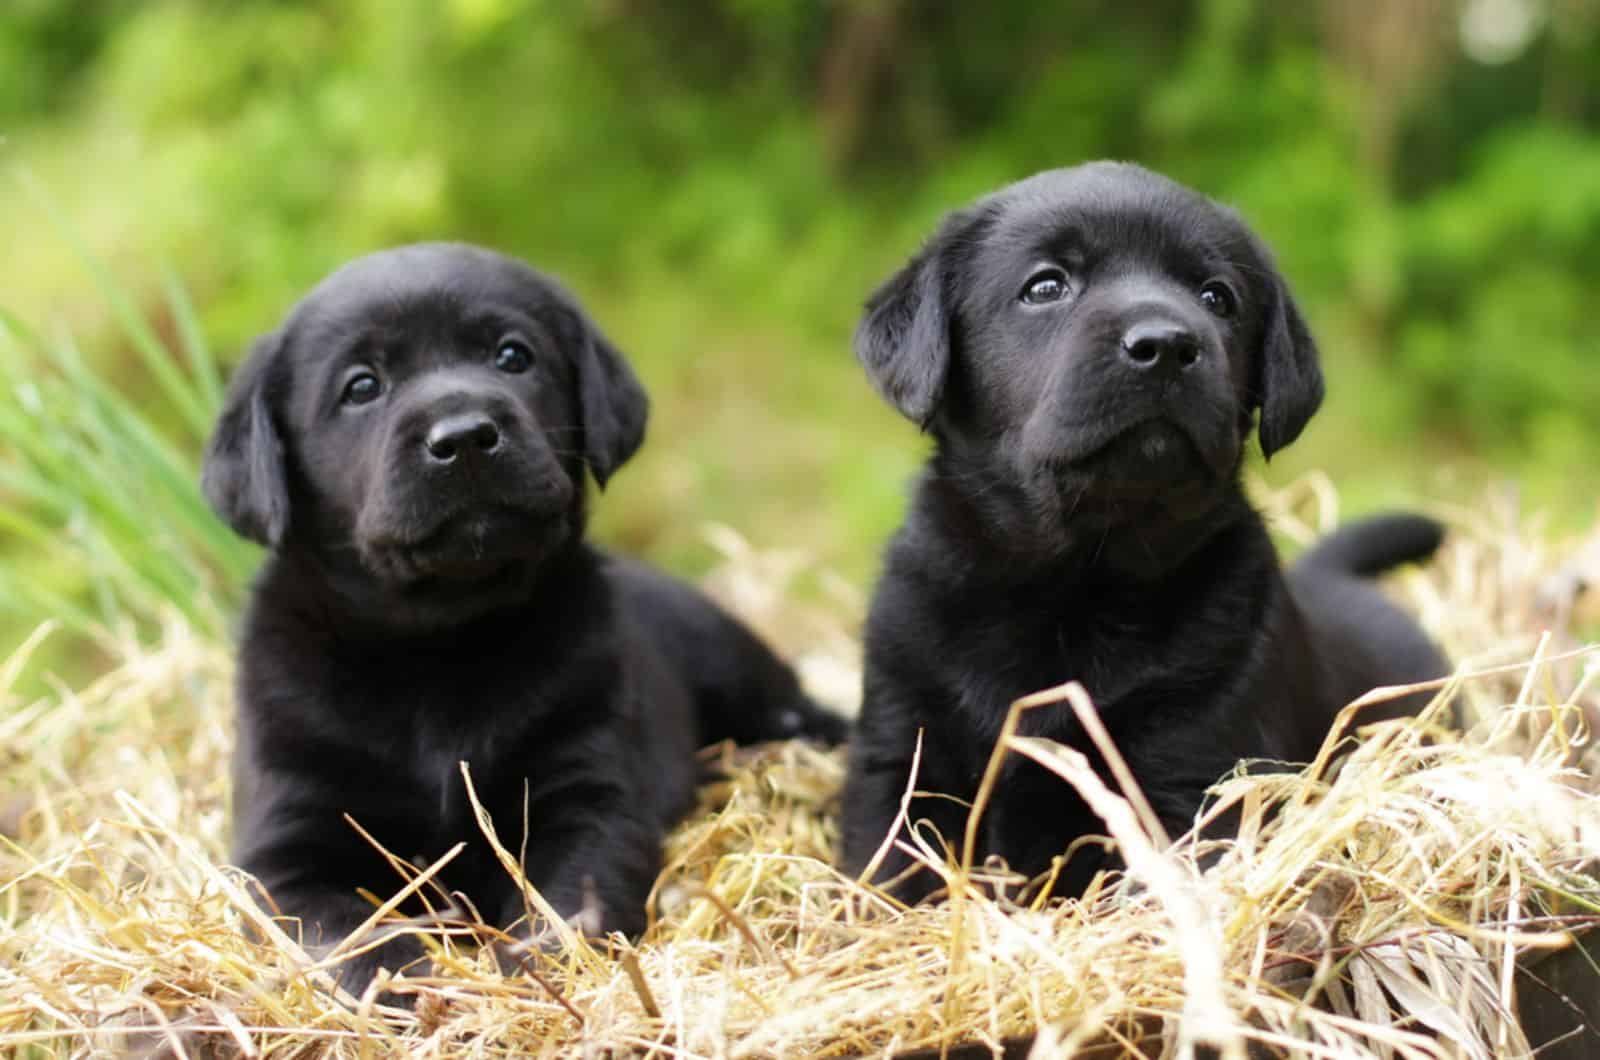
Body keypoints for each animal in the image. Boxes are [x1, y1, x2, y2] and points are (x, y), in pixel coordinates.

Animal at [204, 240, 844, 999]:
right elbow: (344, 930)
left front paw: (538, 971)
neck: (436, 648)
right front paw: (408, 984)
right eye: (362, 386)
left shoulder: (587, 798)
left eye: (513, 355)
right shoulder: (287, 846)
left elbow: (567, 901)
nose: (464, 437)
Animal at [844, 161, 1446, 903]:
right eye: (1046, 286)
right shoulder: (901, 751)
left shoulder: (1199, 769)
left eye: (1218, 297)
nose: (1166, 345)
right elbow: (889, 871)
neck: (1075, 583)